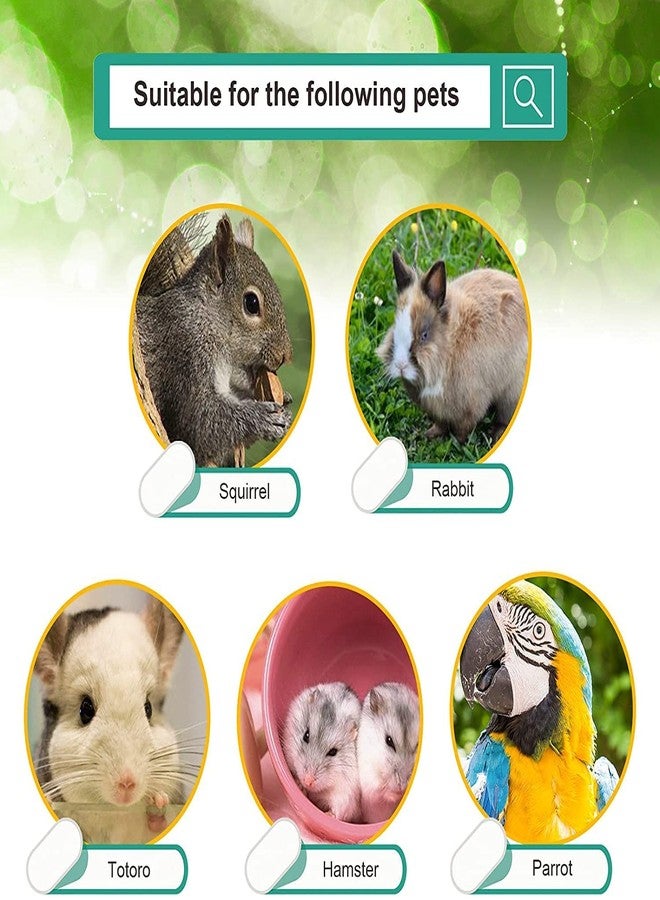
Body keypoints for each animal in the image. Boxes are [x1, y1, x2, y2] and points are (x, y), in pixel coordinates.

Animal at [33, 598, 184, 844]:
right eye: (85, 709)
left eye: (148, 708)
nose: (127, 785)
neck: (115, 809)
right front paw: (48, 799)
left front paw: (158, 802)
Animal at [282, 682, 362, 823]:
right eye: (306, 735)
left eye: (333, 752)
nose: (308, 781)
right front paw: (300, 786)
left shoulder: (346, 794)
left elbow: (338, 810)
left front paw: (328, 815)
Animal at [357, 682, 419, 824]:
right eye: (389, 741)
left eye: (417, 745)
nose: (401, 786)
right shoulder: (370, 780)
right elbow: (381, 790)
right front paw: (395, 793)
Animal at [377, 252, 528, 444]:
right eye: (395, 328)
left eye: (424, 335)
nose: (400, 366)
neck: (450, 345)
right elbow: (441, 424)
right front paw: (431, 434)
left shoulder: (470, 405)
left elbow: (463, 428)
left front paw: (456, 442)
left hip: (512, 394)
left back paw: (496, 434)